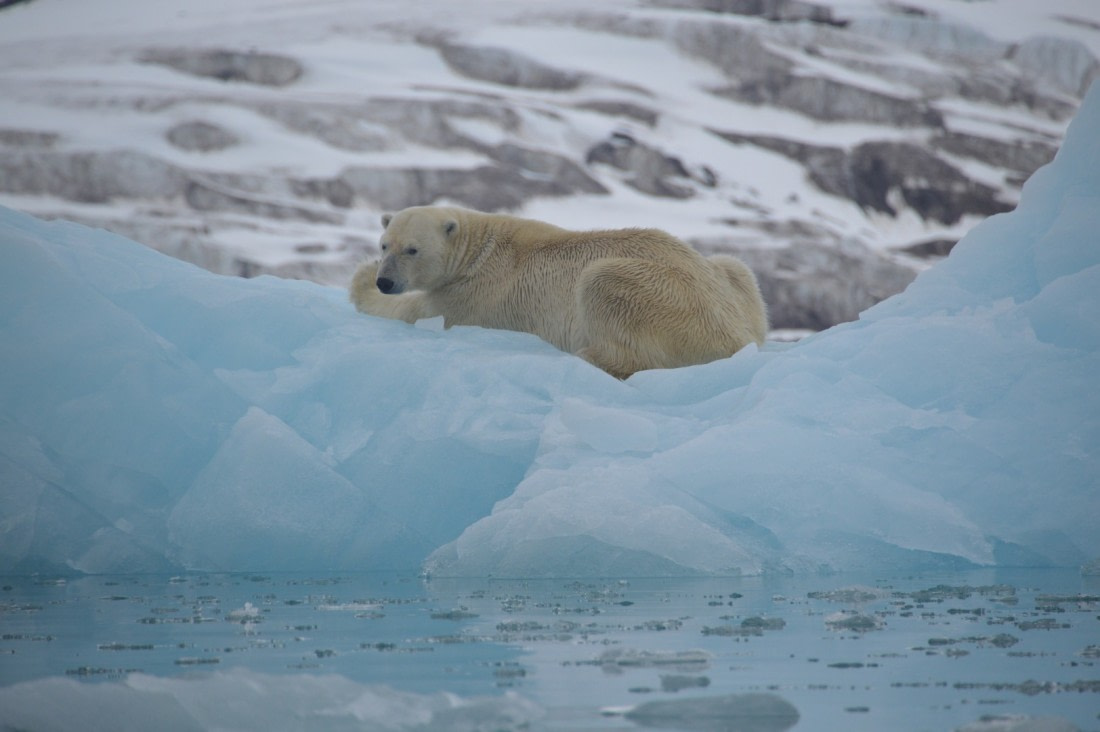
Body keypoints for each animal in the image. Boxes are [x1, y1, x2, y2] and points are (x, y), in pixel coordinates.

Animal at [349, 206, 767, 379]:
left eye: (412, 250)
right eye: (385, 244)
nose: (385, 281)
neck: (478, 248)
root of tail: (738, 338)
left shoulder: (471, 296)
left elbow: (414, 312)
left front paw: (363, 279)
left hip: (666, 298)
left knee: (604, 287)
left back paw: (587, 356)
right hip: (731, 283)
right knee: (736, 265)